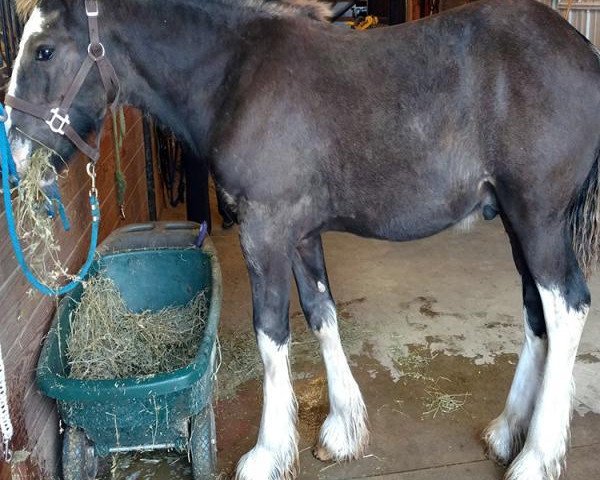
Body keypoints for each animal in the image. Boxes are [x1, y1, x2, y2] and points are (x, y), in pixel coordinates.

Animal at [7, 1, 600, 478]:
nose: (14, 156)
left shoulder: (264, 231)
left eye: (43, 50)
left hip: (539, 219)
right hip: (516, 223)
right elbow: (321, 313)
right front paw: (343, 429)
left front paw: (267, 453)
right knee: (536, 313)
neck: (234, 77)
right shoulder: (300, 235)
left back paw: (536, 456)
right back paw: (506, 432)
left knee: (567, 307)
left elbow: (271, 333)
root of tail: (582, 50)